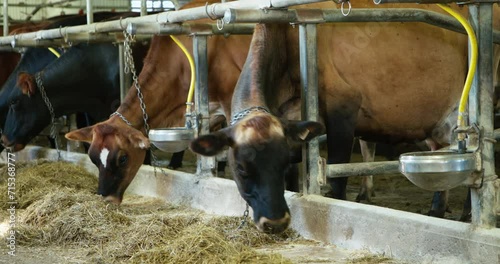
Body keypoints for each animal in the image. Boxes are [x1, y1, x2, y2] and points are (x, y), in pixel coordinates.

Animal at [190, 2, 500, 233]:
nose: (275, 222)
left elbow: (338, 172)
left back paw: (467, 213)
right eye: (241, 169)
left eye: (280, 162)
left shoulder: (344, 108)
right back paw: (436, 209)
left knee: (477, 150)